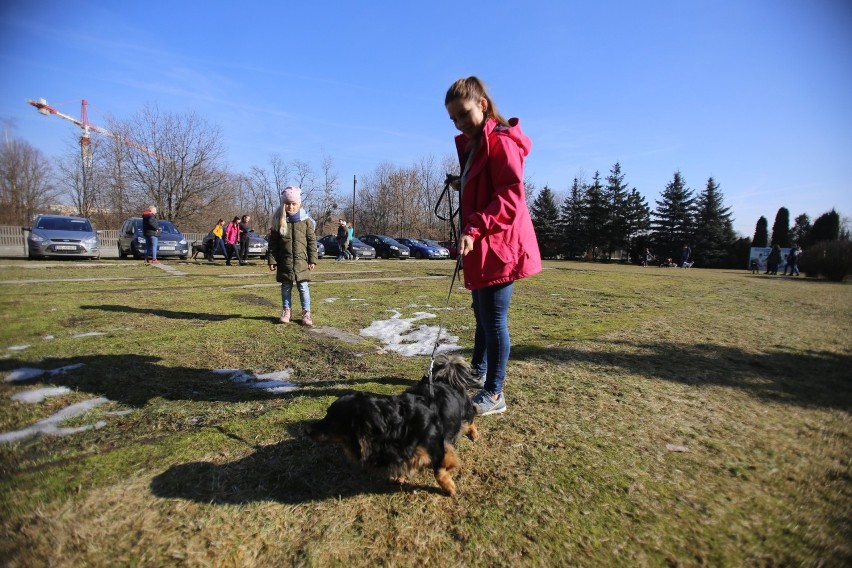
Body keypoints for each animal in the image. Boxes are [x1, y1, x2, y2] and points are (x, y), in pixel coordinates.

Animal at [306, 356, 480, 496]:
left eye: (333, 419)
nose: (307, 430)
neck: (396, 429)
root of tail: (446, 377)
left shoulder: (438, 448)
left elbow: (439, 471)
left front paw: (449, 487)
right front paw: (401, 476)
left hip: (465, 411)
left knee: (471, 418)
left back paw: (474, 434)